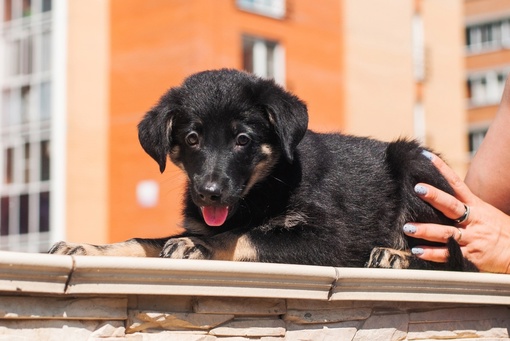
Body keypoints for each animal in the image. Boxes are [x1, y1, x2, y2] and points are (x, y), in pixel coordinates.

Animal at [49, 68, 472, 270]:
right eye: (192, 138)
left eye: (243, 139)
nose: (209, 194)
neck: (268, 185)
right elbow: (144, 240)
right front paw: (86, 247)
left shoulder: (329, 241)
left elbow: (245, 237)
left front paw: (200, 247)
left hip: (414, 163)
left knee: (447, 258)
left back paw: (396, 255)